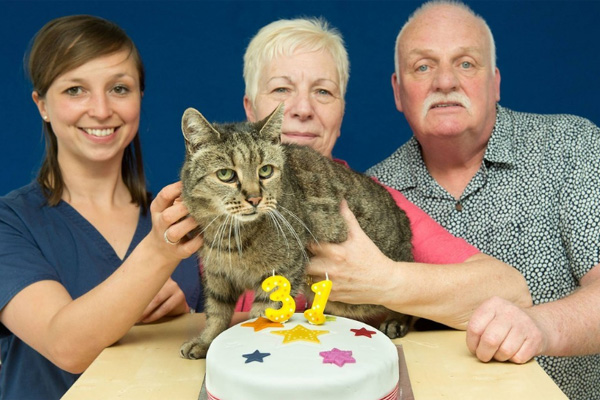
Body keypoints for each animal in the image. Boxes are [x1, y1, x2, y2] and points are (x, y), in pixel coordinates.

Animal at [178, 104, 412, 360]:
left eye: (266, 171)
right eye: (225, 175)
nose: (255, 198)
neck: (231, 234)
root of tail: (403, 220)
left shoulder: (283, 271)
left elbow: (262, 314)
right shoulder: (217, 274)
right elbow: (216, 313)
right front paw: (205, 341)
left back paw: (396, 321)